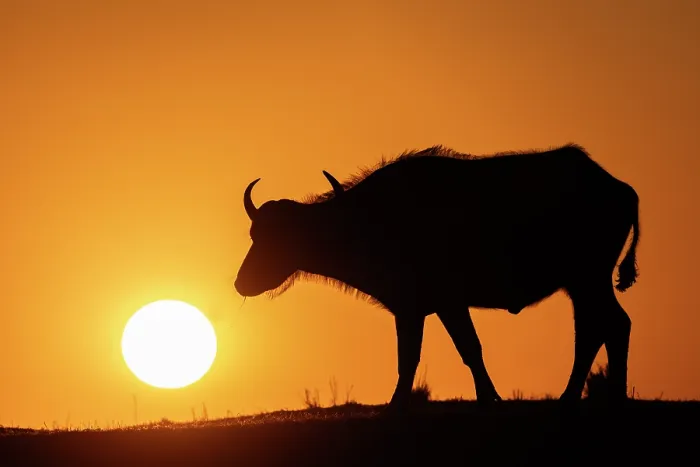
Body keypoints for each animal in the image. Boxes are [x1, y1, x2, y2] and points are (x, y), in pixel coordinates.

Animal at [234, 144, 640, 410]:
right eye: (255, 235)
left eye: (283, 238)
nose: (242, 283)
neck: (368, 220)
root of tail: (619, 188)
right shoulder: (433, 307)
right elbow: (459, 351)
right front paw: (487, 396)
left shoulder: (426, 306)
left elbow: (425, 354)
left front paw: (400, 403)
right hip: (583, 284)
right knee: (597, 329)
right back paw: (582, 395)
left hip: (589, 279)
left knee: (611, 325)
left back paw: (601, 396)